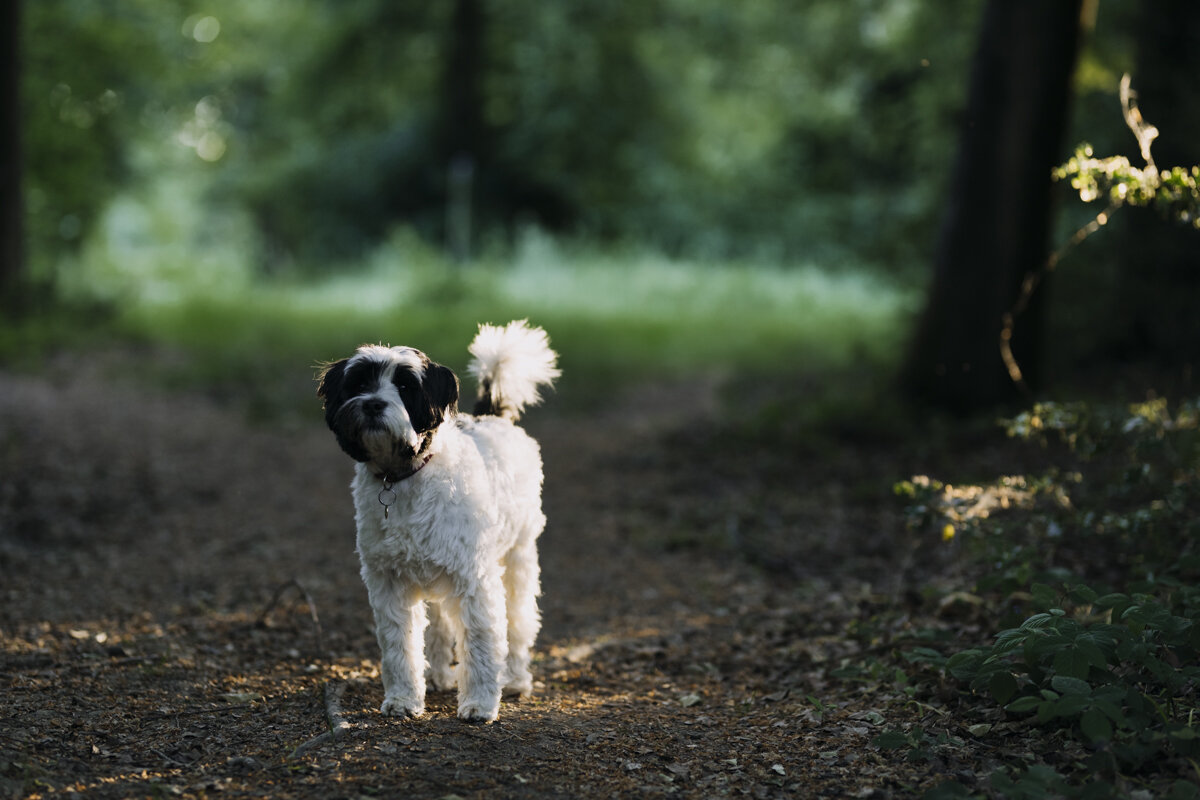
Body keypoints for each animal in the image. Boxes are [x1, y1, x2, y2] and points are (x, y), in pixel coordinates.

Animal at [319, 321, 561, 724]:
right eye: (359, 383)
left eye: (405, 387)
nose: (373, 404)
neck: (403, 476)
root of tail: (494, 416)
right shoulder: (389, 583)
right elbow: (399, 646)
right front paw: (403, 698)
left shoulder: (474, 578)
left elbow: (480, 643)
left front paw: (480, 703)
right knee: (439, 627)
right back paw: (436, 676)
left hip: (517, 561)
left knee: (519, 622)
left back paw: (514, 678)